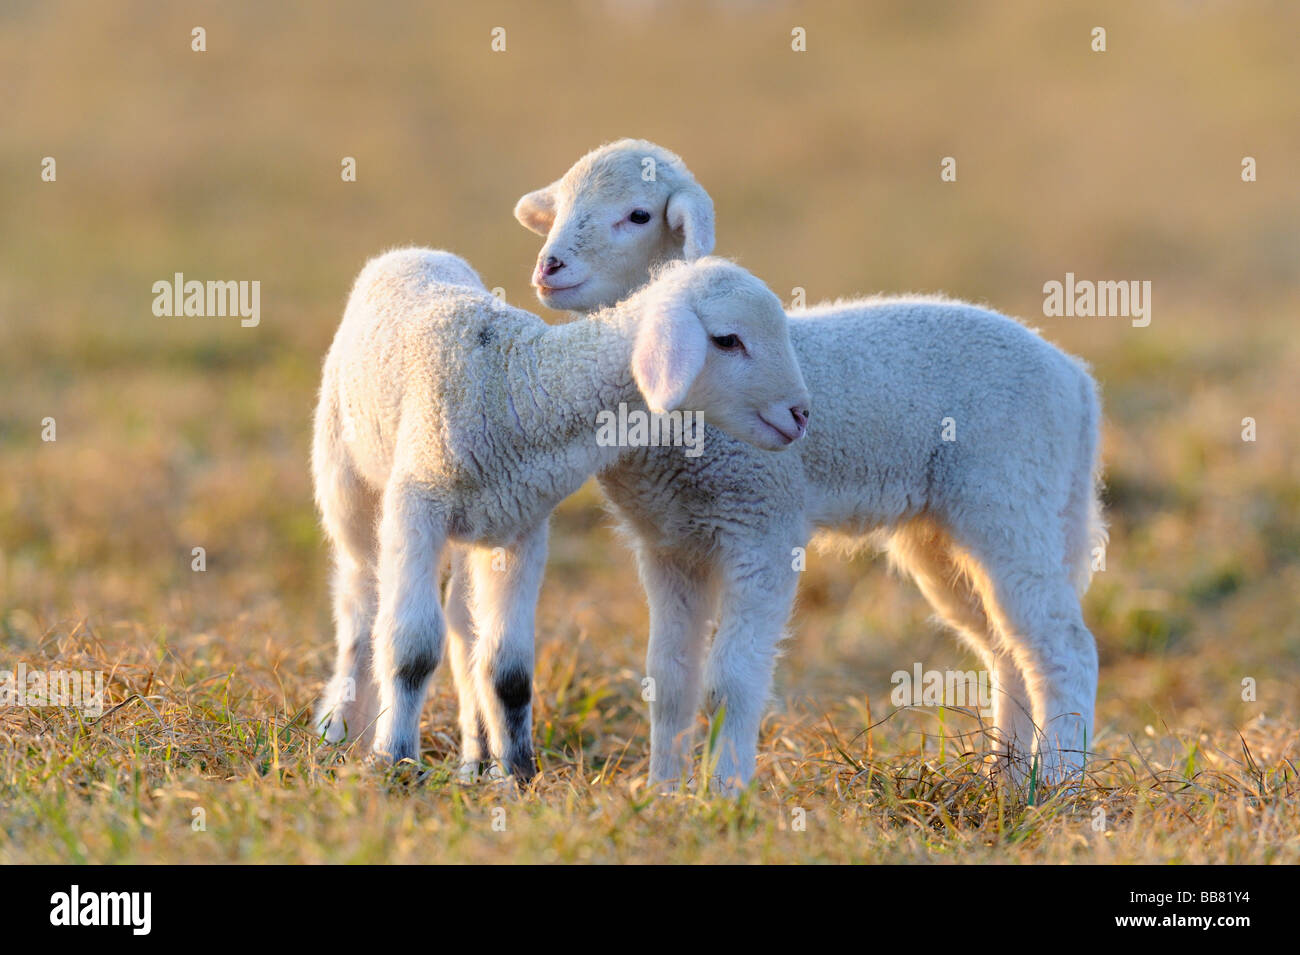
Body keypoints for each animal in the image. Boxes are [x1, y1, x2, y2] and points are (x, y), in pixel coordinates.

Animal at [309, 246, 806, 779]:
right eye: (728, 339)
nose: (801, 415)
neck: (521, 385)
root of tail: (410, 252)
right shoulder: (416, 508)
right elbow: (411, 647)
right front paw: (395, 761)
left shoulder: (523, 528)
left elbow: (508, 667)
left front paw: (518, 773)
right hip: (347, 481)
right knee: (359, 605)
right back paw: (339, 729)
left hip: (476, 528)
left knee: (463, 624)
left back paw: (476, 755)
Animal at [509, 138, 1107, 789]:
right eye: (560, 206)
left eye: (638, 215)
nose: (548, 267)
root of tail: (1075, 378)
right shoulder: (669, 544)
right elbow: (668, 682)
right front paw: (662, 790)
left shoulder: (762, 526)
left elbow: (731, 682)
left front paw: (725, 791)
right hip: (948, 534)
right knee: (1007, 649)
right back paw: (1007, 777)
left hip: (1011, 499)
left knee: (1064, 647)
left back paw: (1057, 783)